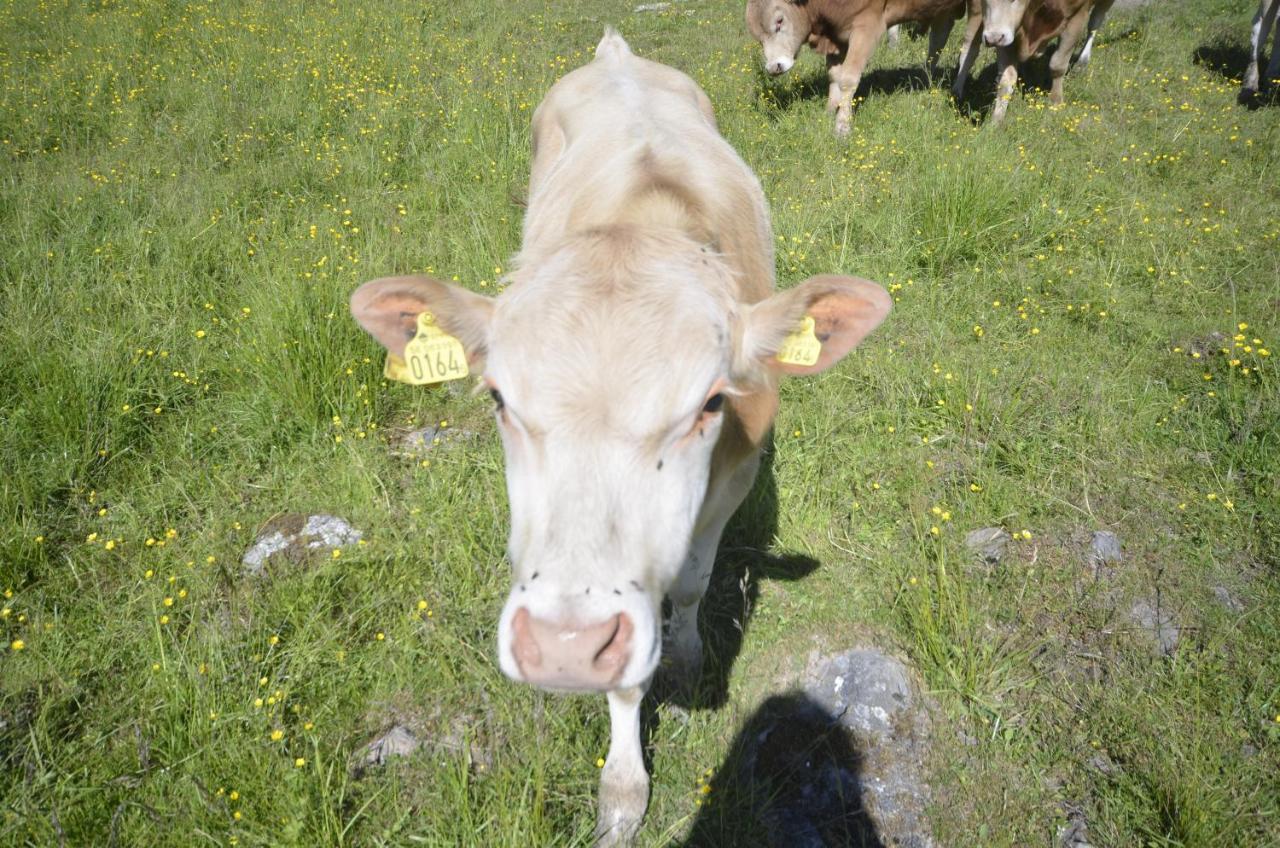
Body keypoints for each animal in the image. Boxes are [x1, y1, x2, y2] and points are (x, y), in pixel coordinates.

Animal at [350, 29, 890, 845]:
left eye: (709, 403)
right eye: (500, 397)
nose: (564, 648)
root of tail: (617, 55)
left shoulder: (734, 476)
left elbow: (693, 581)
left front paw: (691, 656)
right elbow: (628, 682)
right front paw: (624, 790)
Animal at [747, 0, 983, 134]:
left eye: (779, 21)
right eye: (756, 36)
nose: (774, 67)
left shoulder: (867, 24)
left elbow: (848, 78)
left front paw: (842, 127)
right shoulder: (837, 32)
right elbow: (835, 75)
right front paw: (830, 111)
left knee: (968, 47)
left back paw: (956, 90)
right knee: (939, 36)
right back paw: (926, 80)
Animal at [972, 0, 1116, 122]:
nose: (992, 39)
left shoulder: (1078, 14)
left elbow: (1057, 65)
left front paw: (1056, 103)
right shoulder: (1009, 35)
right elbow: (1006, 79)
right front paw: (996, 122)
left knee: (1095, 22)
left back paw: (1082, 61)